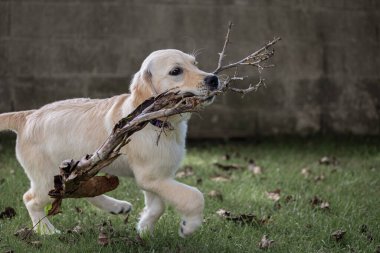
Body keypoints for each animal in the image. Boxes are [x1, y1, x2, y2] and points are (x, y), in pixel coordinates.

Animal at [0, 49, 220, 237]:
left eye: (195, 63)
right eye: (176, 71)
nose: (214, 79)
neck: (158, 122)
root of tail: (27, 116)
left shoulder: (157, 176)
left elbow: (158, 206)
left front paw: (144, 229)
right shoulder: (150, 177)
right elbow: (194, 197)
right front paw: (188, 226)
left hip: (80, 169)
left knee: (82, 191)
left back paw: (116, 207)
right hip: (47, 177)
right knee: (31, 199)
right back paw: (47, 231)